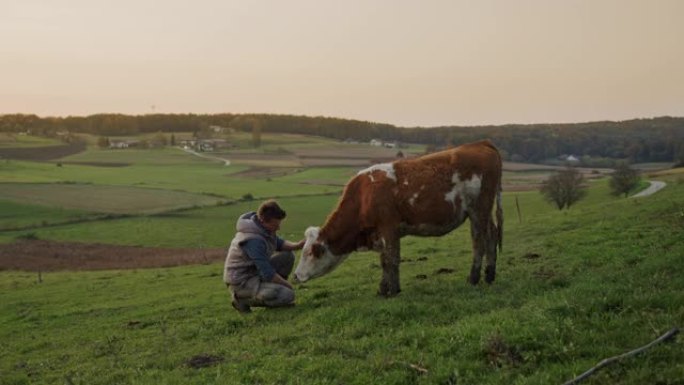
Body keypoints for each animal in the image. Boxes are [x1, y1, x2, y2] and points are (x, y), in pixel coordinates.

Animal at [294, 140, 502, 296]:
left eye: (310, 253)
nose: (295, 275)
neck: (363, 195)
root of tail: (480, 143)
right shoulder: (379, 233)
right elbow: (384, 261)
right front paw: (383, 289)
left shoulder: (389, 228)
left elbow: (392, 259)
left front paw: (393, 290)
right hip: (484, 211)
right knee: (492, 235)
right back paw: (490, 275)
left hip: (478, 210)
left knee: (479, 242)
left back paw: (473, 278)